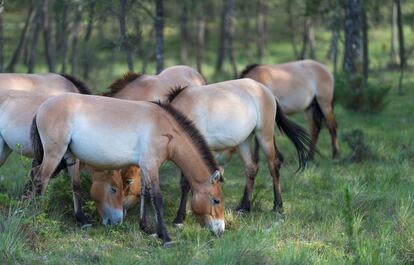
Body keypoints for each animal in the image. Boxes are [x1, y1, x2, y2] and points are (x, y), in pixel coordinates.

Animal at [165, 77, 310, 222]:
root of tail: (265, 90)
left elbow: (186, 183)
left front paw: (179, 218)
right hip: (244, 141)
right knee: (251, 168)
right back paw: (244, 207)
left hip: (264, 136)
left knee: (273, 166)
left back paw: (277, 206)